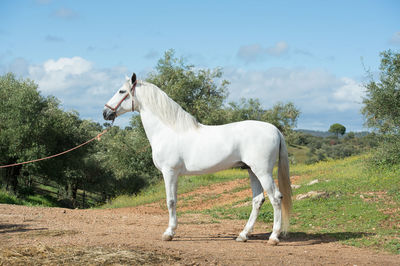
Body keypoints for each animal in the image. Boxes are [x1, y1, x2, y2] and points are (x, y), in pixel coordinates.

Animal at [102, 72, 290, 245]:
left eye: (121, 91)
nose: (105, 112)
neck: (168, 130)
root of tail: (275, 129)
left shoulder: (169, 172)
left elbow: (170, 201)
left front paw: (169, 233)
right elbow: (173, 201)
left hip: (263, 171)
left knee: (276, 198)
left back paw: (273, 237)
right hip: (251, 171)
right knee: (258, 200)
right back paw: (243, 235)